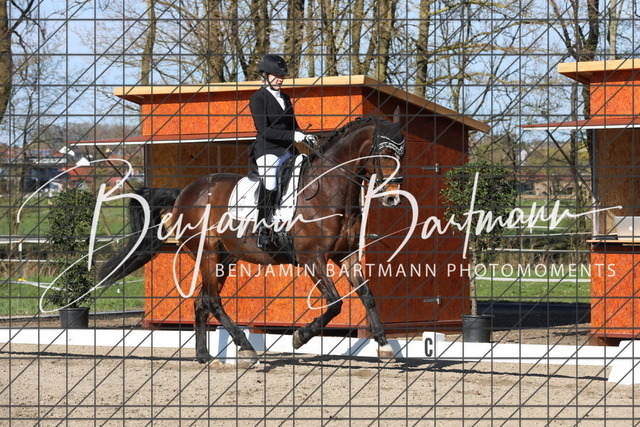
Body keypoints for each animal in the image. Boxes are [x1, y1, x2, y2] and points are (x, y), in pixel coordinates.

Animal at [99, 107, 406, 364]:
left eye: (402, 154)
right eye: (384, 153)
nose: (393, 198)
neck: (329, 189)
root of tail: (184, 193)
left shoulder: (347, 256)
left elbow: (367, 295)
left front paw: (384, 346)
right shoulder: (312, 258)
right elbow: (335, 303)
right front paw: (300, 337)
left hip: (225, 258)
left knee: (202, 301)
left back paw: (203, 356)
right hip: (207, 254)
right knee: (212, 301)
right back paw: (245, 347)